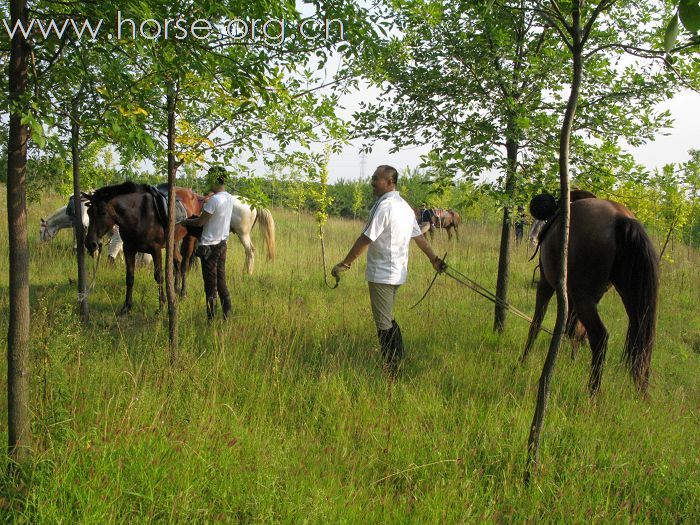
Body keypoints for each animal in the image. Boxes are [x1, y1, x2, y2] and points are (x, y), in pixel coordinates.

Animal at [83, 182, 202, 314]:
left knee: (184, 264)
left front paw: (161, 306)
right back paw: (175, 289)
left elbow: (159, 277)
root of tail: (194, 195)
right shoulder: (128, 249)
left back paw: (183, 293)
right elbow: (129, 277)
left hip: (189, 238)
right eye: (88, 212)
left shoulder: (156, 250)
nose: (90, 243)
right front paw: (127, 307)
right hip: (173, 242)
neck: (138, 215)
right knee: (178, 261)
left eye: (103, 212)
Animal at [520, 192, 660, 392]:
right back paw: (640, 391)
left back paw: (593, 392)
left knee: (600, 337)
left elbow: (537, 323)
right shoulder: (574, 295)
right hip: (627, 298)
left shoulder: (546, 284)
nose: (532, 238)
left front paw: (523, 360)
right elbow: (571, 328)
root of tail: (620, 218)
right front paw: (572, 357)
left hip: (583, 298)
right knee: (640, 344)